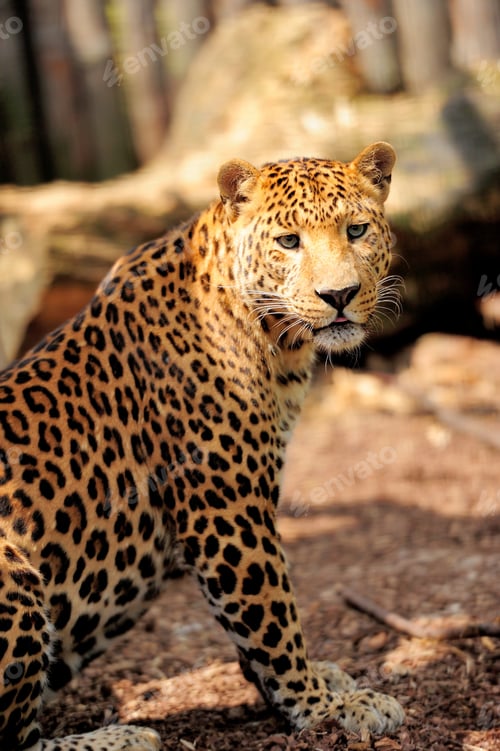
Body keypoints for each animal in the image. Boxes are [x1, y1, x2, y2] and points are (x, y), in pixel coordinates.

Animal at [0, 142, 404, 750]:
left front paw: (320, 682)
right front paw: (326, 706)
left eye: (356, 230)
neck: (275, 342)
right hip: (12, 572)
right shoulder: (225, 508)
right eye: (289, 242)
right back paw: (127, 737)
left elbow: (254, 626)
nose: (339, 296)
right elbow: (272, 618)